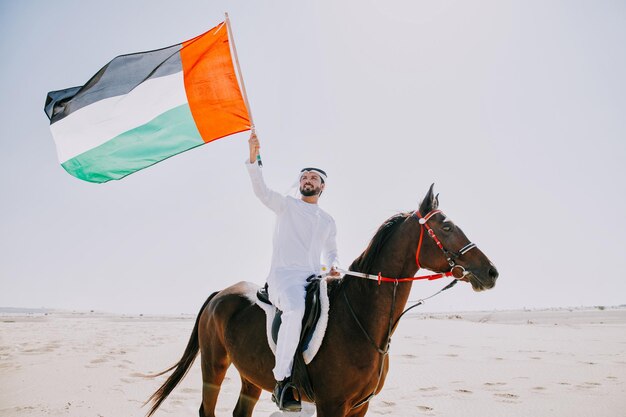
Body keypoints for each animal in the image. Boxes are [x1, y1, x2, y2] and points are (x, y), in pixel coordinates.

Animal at [146, 185, 498, 416]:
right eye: (447, 226)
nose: (491, 272)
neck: (361, 319)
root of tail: (219, 294)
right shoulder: (332, 405)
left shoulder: (359, 407)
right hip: (213, 365)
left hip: (251, 376)